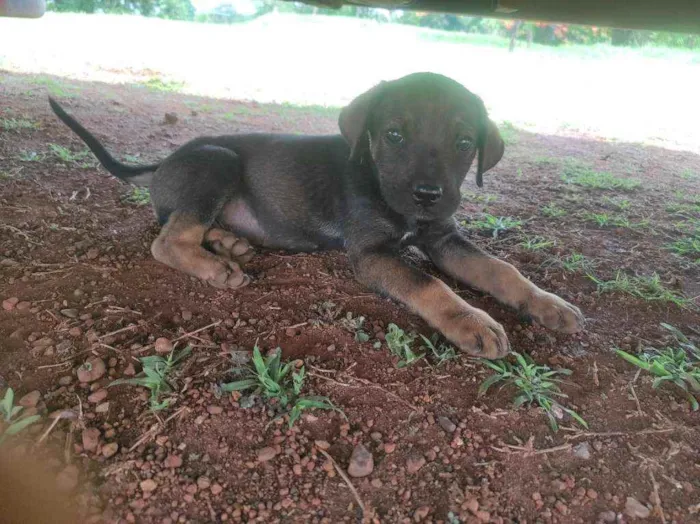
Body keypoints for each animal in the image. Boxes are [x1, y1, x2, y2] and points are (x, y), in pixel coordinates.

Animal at [50, 72, 584, 360]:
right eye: (393, 135)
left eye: (464, 142)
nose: (428, 195)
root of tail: (162, 164)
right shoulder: (370, 254)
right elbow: (429, 284)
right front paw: (471, 320)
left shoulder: (443, 236)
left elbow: (501, 269)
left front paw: (548, 303)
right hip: (217, 160)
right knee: (166, 238)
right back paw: (216, 267)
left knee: (185, 225)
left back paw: (229, 244)